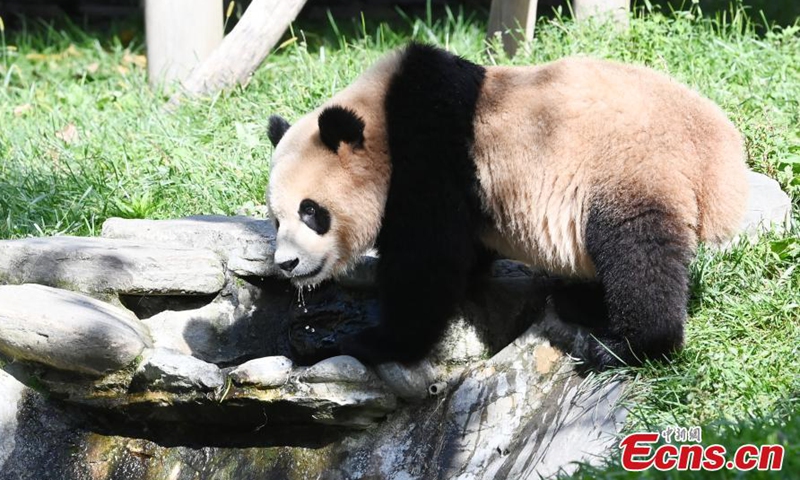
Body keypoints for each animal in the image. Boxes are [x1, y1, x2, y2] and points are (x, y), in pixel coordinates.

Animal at [266, 43, 748, 370]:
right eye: (275, 219)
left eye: (311, 212)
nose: (287, 264)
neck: (381, 116)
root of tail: (720, 155)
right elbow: (464, 253)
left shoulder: (429, 156)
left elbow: (427, 263)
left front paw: (373, 342)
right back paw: (579, 302)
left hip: (632, 167)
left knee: (636, 254)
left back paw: (625, 346)